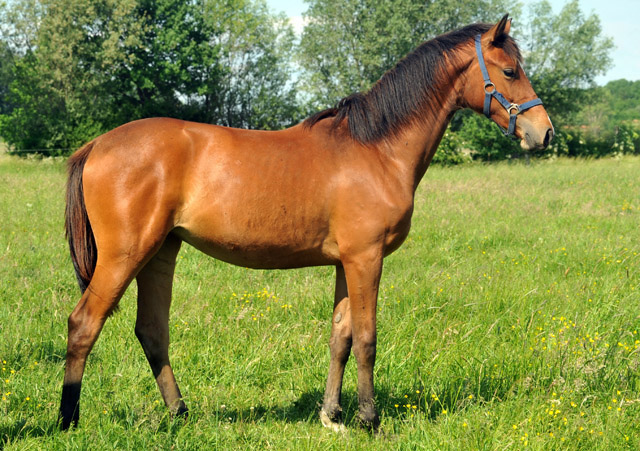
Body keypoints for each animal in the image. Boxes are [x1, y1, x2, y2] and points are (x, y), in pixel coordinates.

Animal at [60, 15, 552, 432]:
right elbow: (367, 337)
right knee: (84, 324)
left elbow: (341, 338)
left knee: (151, 331)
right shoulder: (366, 259)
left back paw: (179, 413)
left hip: (161, 251)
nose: (543, 133)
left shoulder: (345, 263)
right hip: (126, 255)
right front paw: (369, 419)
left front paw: (332, 414)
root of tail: (97, 144)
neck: (376, 148)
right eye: (510, 71)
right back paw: (68, 420)